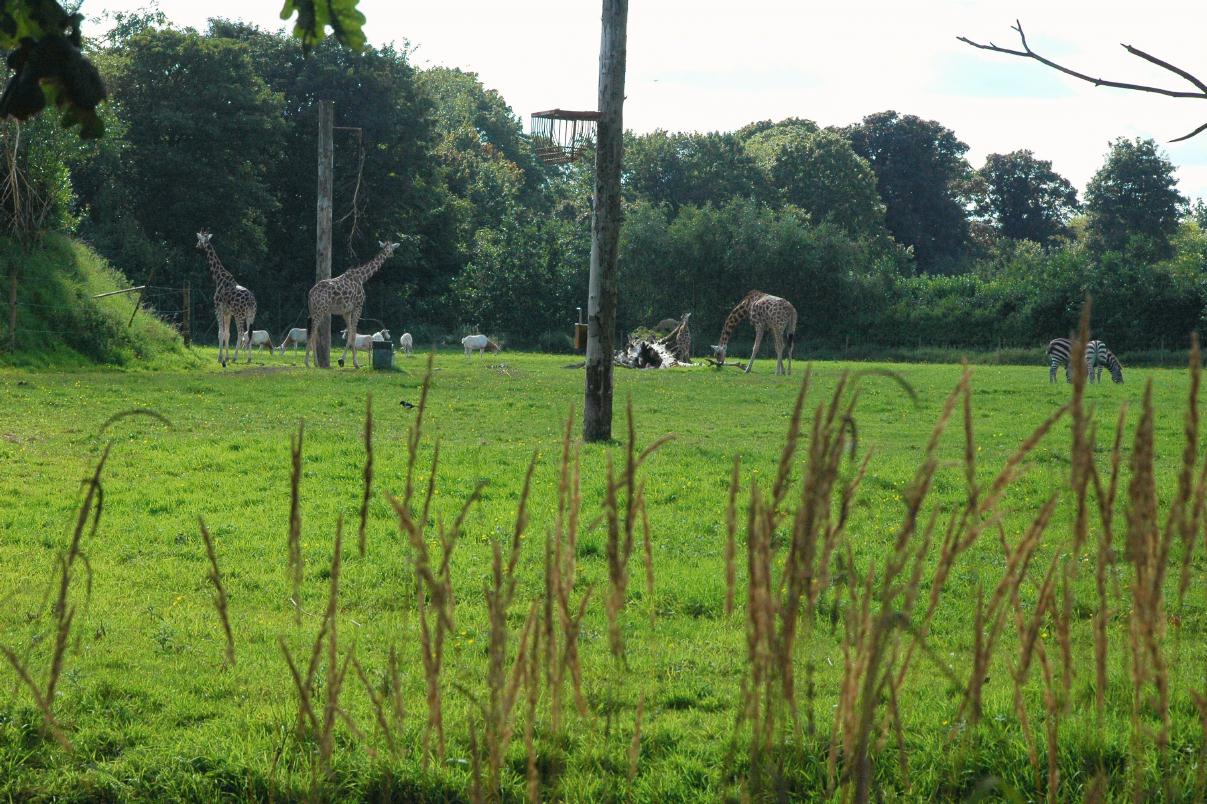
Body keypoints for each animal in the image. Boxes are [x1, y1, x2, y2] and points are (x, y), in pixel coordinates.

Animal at [195, 226, 257, 364]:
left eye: (199, 239)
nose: (196, 246)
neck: (219, 278)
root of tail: (251, 301)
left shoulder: (218, 309)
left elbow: (220, 333)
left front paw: (220, 358)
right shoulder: (228, 312)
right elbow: (227, 334)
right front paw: (226, 357)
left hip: (240, 315)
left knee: (241, 333)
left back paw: (235, 357)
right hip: (251, 315)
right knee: (249, 333)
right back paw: (249, 358)